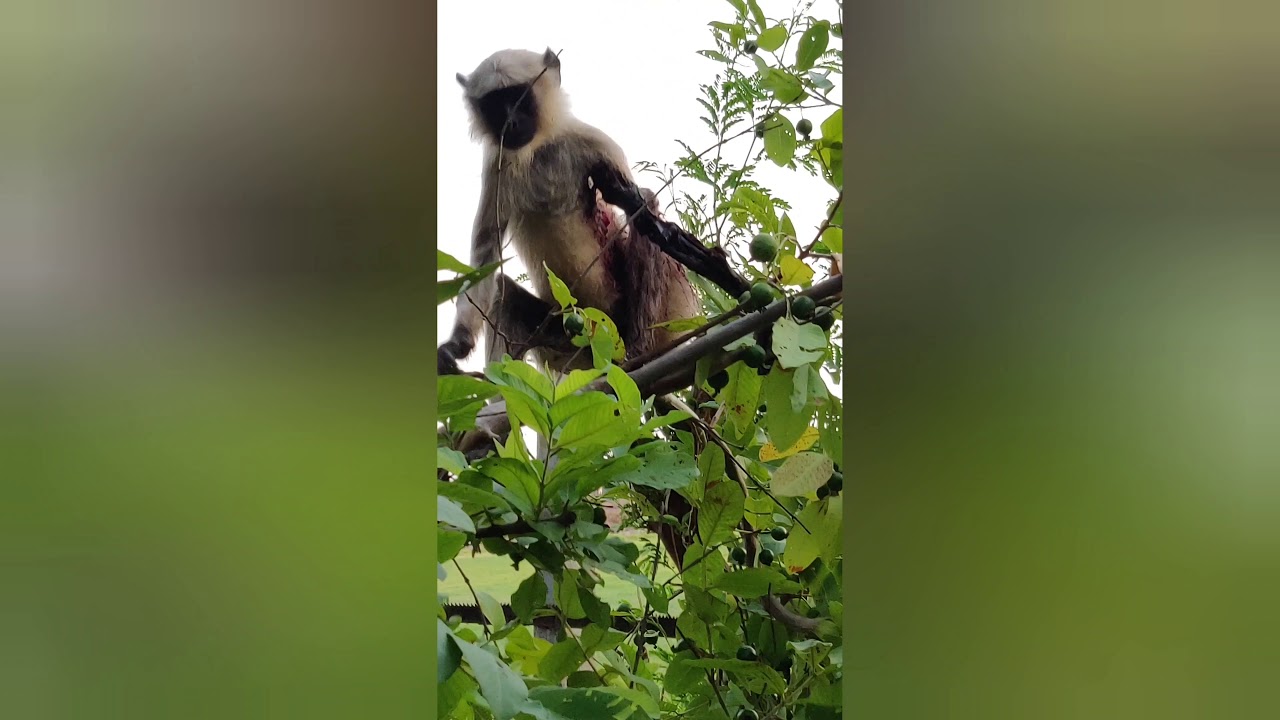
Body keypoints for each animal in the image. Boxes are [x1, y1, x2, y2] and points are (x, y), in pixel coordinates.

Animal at [437, 47, 747, 378]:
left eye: (519, 97)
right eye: (494, 105)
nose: (510, 122)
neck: (542, 148)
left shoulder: (599, 146)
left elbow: (648, 219)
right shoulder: (497, 164)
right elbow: (485, 255)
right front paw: (457, 345)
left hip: (660, 315)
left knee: (647, 209)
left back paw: (639, 351)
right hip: (569, 341)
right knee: (502, 295)